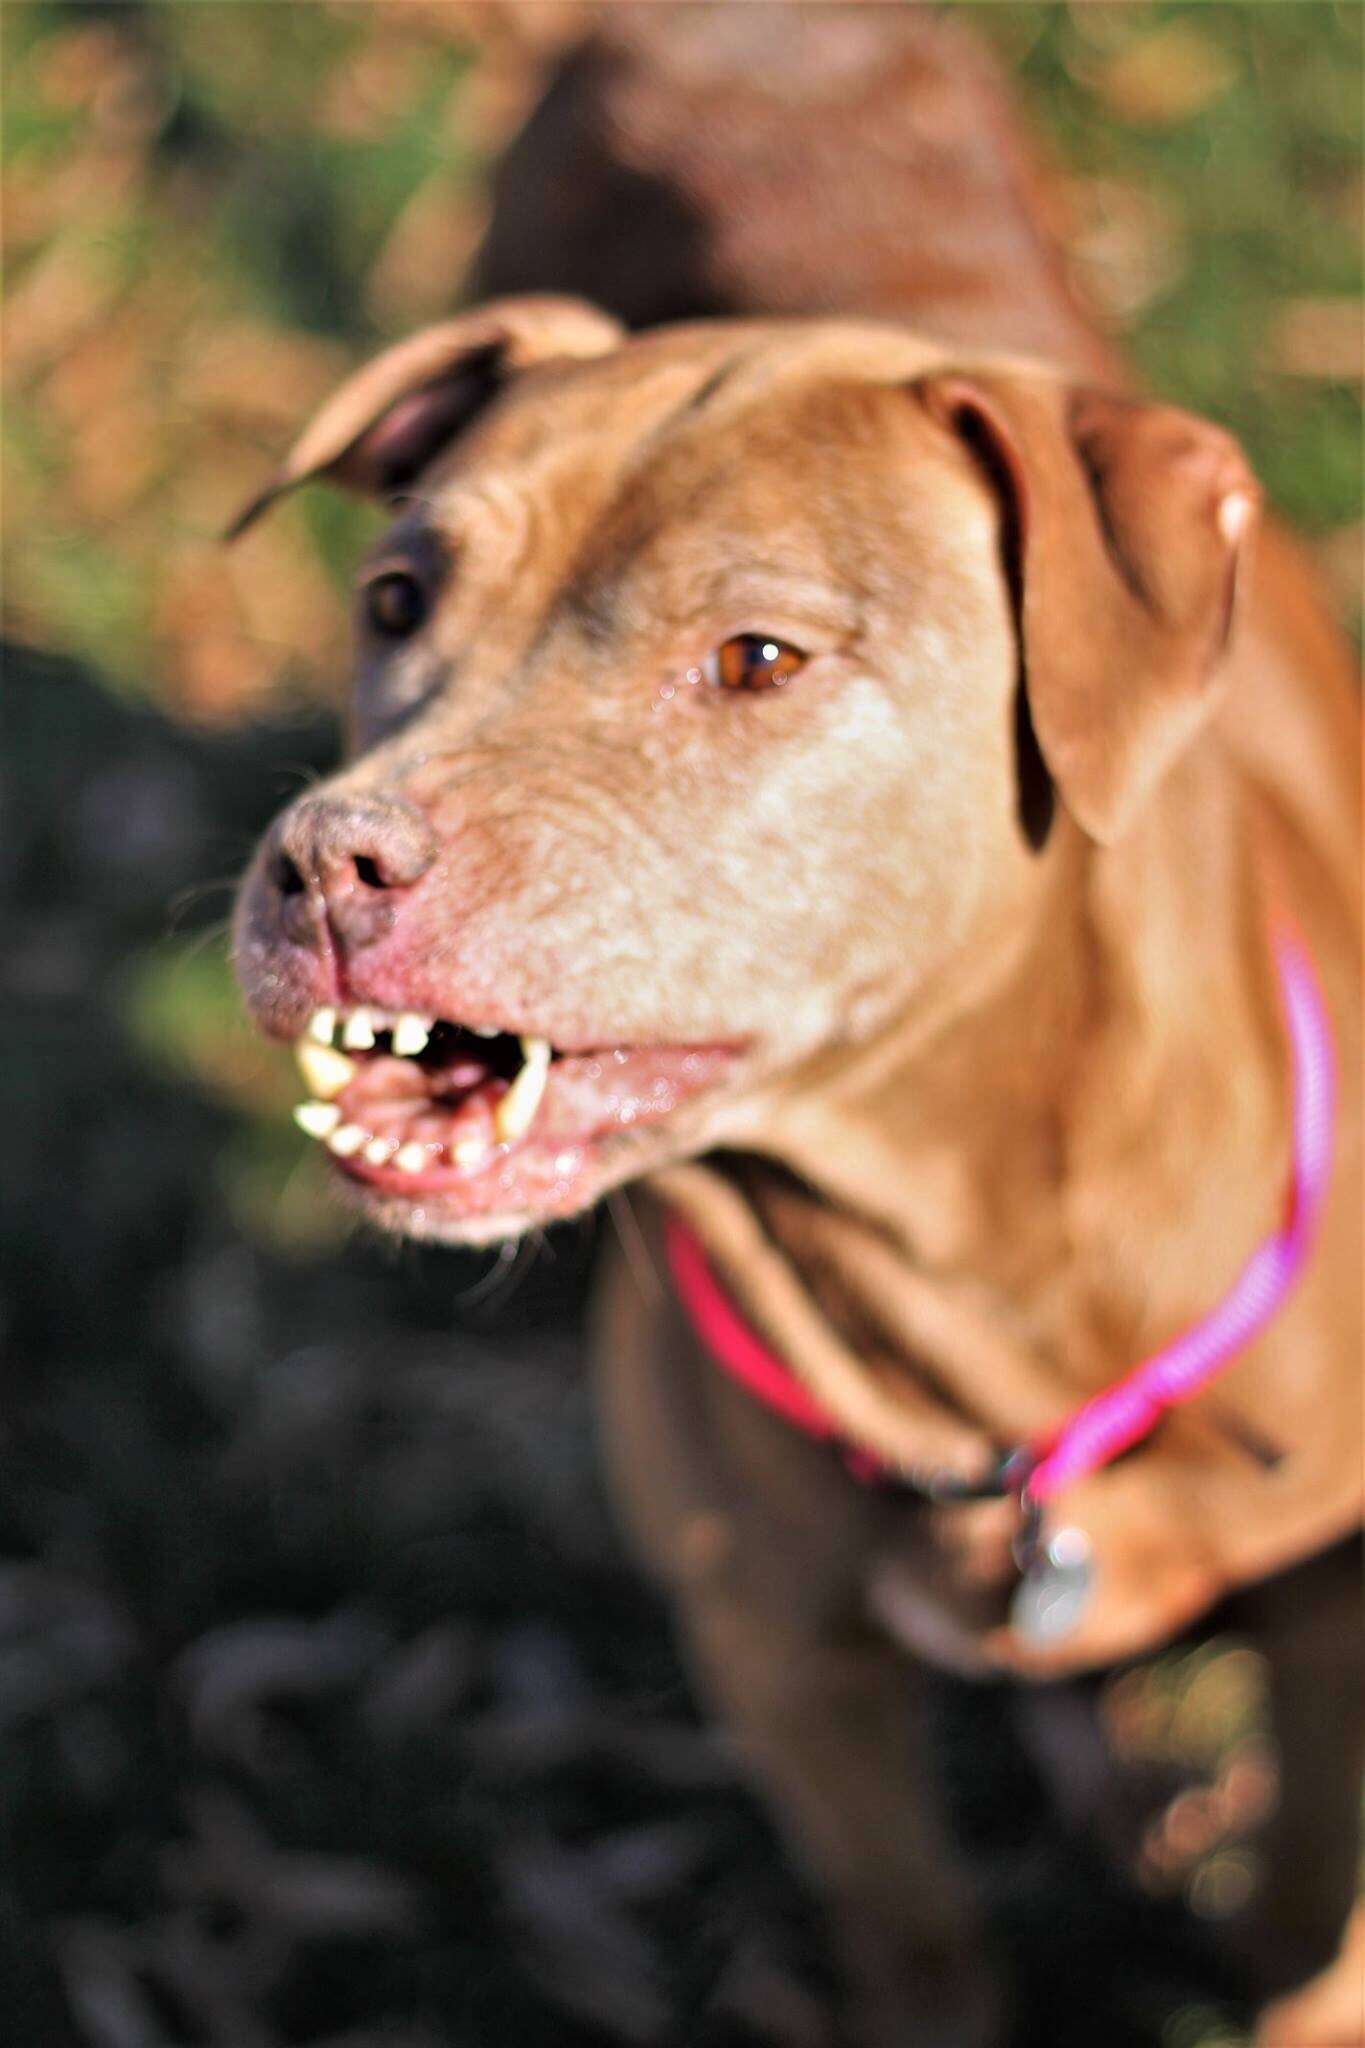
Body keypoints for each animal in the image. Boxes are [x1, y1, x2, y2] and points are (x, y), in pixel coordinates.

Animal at [229, 8, 1358, 2039]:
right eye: (395, 598)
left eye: (756, 658)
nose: (326, 862)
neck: (967, 1285)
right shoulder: (785, 1668)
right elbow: (913, 1932)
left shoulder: (1334, 1641)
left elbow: (1316, 1909)